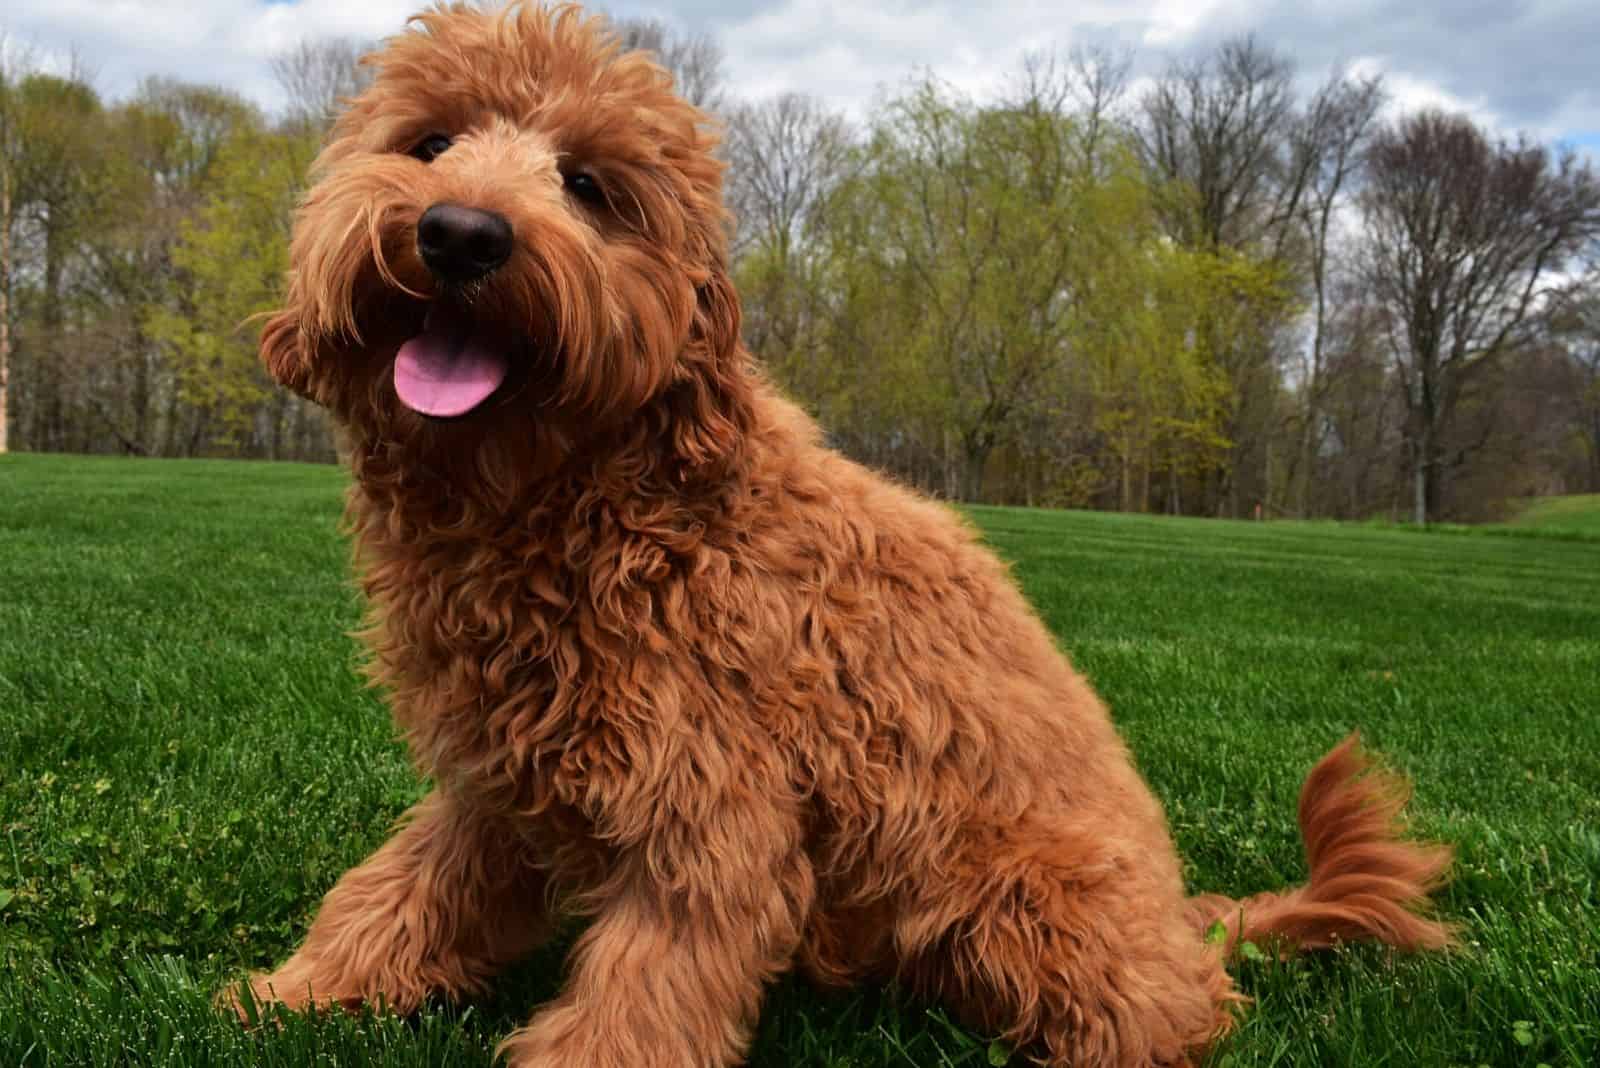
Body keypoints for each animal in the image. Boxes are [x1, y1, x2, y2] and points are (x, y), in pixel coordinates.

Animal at [233, 4, 1452, 1061]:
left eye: (587, 185)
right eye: (430, 142)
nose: (458, 233)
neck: (597, 496)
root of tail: (1180, 914)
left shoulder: (708, 806)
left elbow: (644, 991)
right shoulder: (501, 779)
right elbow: (403, 888)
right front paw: (300, 991)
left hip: (1032, 905)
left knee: (1174, 1013)